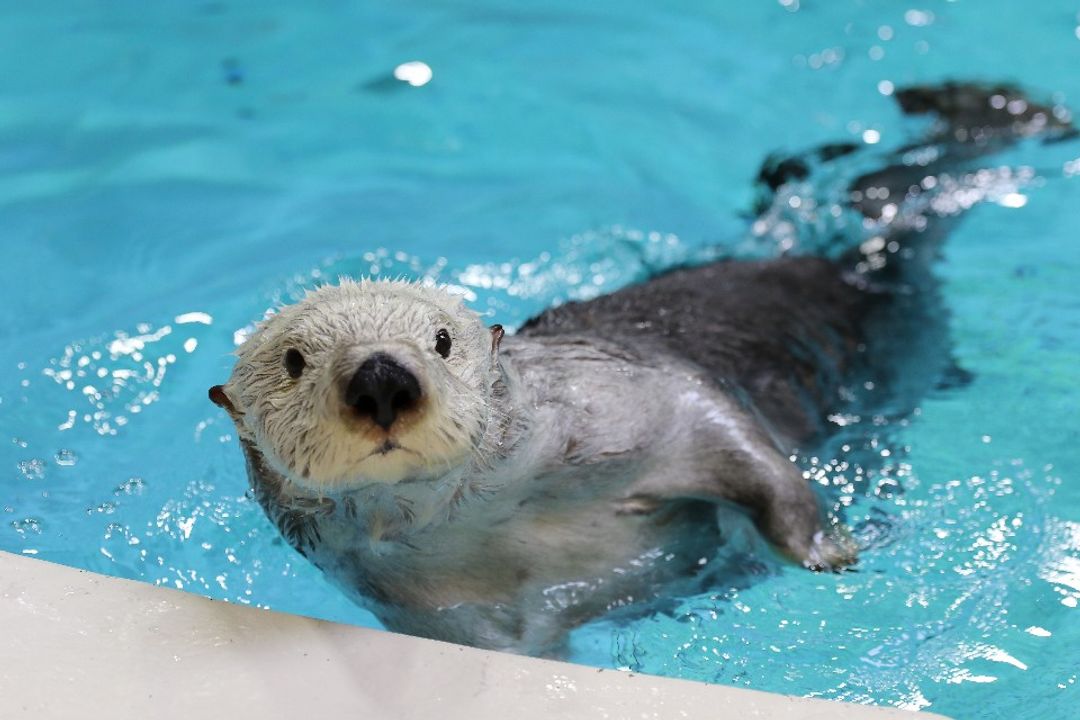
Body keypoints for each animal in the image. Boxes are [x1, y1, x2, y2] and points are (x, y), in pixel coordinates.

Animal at [208, 84, 1071, 651]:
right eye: (293, 360)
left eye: (443, 339)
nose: (383, 378)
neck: (499, 527)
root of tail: (853, 258)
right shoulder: (443, 617)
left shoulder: (635, 404)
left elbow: (745, 450)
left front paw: (828, 549)